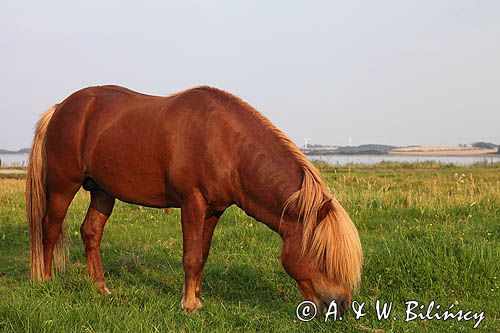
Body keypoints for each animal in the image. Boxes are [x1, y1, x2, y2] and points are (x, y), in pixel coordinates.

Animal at [25, 85, 362, 314]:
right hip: (62, 186)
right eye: (323, 254)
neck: (225, 142)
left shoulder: (214, 211)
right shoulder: (192, 203)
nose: (340, 307)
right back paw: (44, 280)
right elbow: (190, 256)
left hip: (102, 191)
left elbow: (202, 255)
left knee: (91, 232)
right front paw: (188, 305)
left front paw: (197, 299)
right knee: (49, 229)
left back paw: (101, 288)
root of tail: (61, 107)